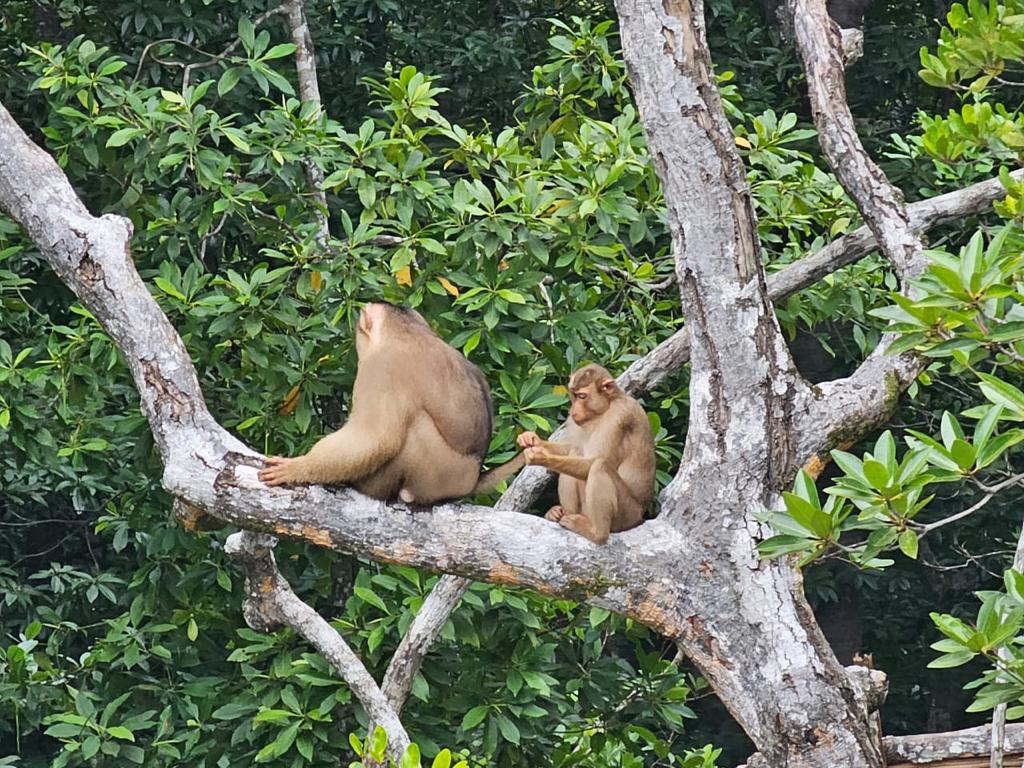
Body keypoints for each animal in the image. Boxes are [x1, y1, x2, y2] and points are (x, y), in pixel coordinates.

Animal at [260, 303, 491, 507]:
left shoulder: (381, 368)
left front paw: (299, 467)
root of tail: (471, 481)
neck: (409, 333)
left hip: (437, 475)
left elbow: (375, 438)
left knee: (413, 426)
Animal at [512, 364, 655, 544]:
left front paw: (542, 457)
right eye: (573, 395)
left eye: (582, 396)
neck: (608, 404)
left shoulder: (618, 415)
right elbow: (572, 448)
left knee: (599, 466)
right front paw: (533, 440)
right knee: (575, 454)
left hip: (627, 515)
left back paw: (597, 533)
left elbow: (593, 460)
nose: (573, 410)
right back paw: (559, 513)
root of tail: (640, 518)